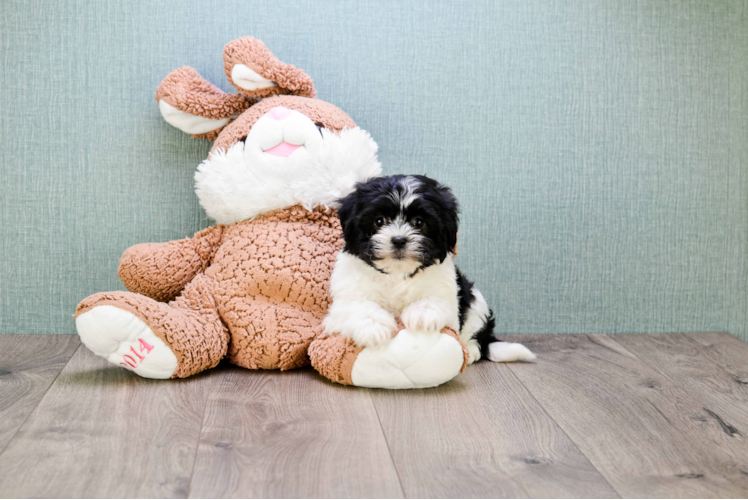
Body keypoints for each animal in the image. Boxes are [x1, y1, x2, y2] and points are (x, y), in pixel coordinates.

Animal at [324, 176, 536, 364]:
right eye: (379, 221)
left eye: (419, 222)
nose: (399, 240)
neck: (397, 274)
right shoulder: (345, 298)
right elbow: (357, 305)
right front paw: (373, 327)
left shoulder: (447, 291)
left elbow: (436, 300)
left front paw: (422, 314)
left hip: (475, 298)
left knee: (476, 330)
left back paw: (471, 351)